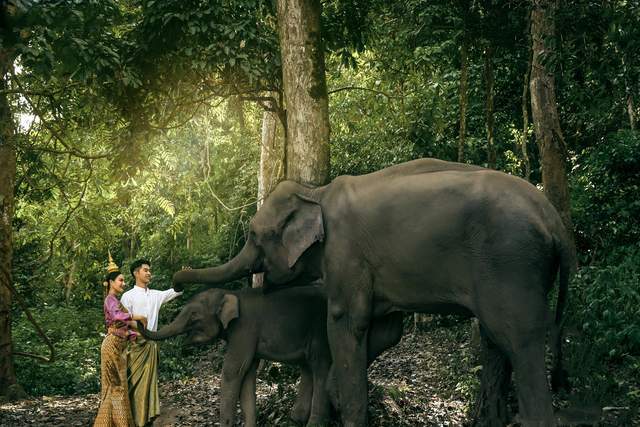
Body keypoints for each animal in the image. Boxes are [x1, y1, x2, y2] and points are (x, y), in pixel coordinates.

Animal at [141, 284, 400, 427]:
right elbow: (247, 373)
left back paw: (312, 423)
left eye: (194, 315)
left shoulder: (244, 330)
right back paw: (296, 418)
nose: (140, 321)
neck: (231, 293)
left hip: (320, 329)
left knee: (319, 366)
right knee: (309, 367)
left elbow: (233, 370)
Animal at [174, 158, 576, 427]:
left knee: (520, 340)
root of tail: (555, 222)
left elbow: (344, 324)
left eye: (255, 236)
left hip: (512, 263)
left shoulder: (345, 254)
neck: (316, 192)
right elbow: (386, 331)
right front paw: (333, 396)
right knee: (496, 340)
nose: (176, 283)